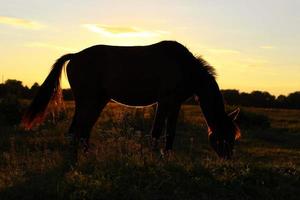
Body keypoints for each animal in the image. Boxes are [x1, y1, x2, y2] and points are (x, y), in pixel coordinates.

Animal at [21, 40, 241, 161]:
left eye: (233, 136)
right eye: (225, 136)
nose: (228, 159)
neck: (184, 66)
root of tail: (75, 56)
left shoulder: (173, 104)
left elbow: (168, 132)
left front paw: (164, 157)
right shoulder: (165, 101)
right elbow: (159, 131)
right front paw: (155, 158)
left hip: (96, 101)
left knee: (82, 130)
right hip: (86, 101)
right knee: (77, 130)